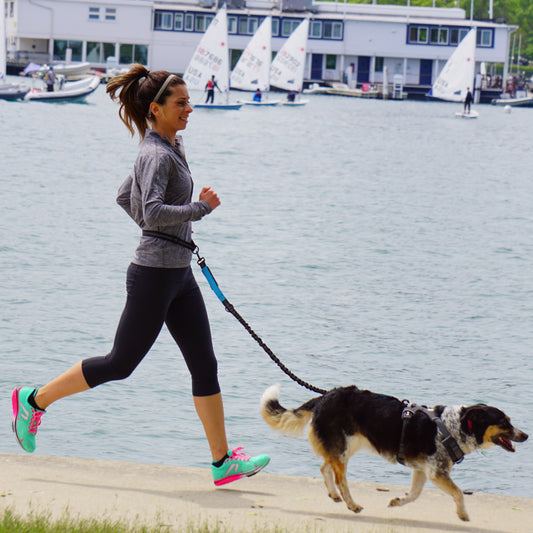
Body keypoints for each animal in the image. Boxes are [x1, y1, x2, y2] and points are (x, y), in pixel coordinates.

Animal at [260, 382, 524, 520]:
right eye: (504, 422)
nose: (526, 435)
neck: (454, 427)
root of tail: (324, 396)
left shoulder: (422, 471)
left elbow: (414, 495)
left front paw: (397, 501)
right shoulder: (437, 473)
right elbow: (458, 493)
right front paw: (463, 514)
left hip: (347, 446)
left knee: (325, 467)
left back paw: (334, 495)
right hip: (343, 448)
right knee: (340, 478)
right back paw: (351, 504)